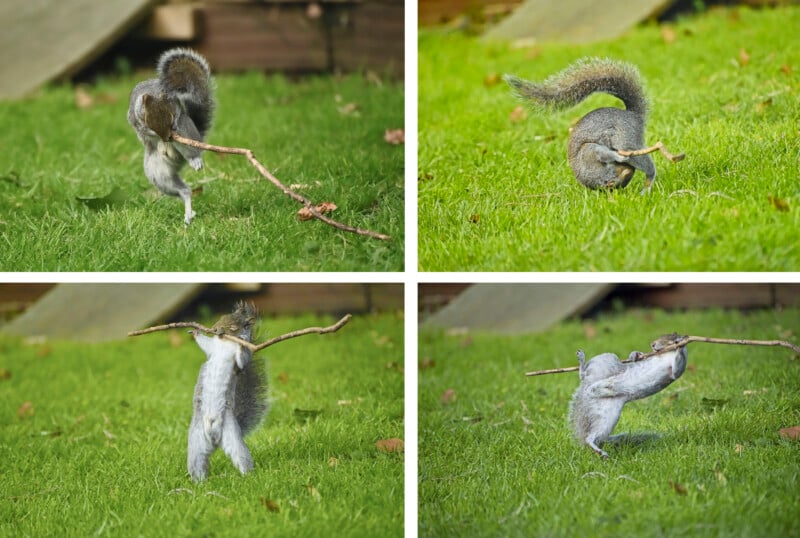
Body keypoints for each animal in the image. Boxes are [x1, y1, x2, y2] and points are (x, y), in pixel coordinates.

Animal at [126, 48, 214, 224]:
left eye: (171, 115)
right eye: (146, 118)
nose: (167, 137)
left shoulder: (176, 107)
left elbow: (178, 114)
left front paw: (173, 125)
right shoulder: (133, 115)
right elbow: (140, 128)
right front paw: (149, 132)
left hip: (188, 136)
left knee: (192, 152)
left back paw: (195, 160)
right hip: (159, 174)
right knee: (184, 191)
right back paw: (189, 213)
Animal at [186, 300, 268, 480]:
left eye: (233, 326)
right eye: (221, 317)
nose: (214, 328)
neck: (225, 343)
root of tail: (214, 440)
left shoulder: (241, 360)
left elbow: (242, 359)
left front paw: (240, 344)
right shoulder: (213, 348)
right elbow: (206, 345)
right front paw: (195, 331)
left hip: (231, 436)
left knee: (241, 457)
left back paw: (248, 476)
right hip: (196, 442)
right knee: (198, 461)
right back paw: (199, 481)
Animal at [506, 56, 680, 193]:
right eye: (616, 182)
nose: (629, 170)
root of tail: (633, 115)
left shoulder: (590, 151)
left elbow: (603, 153)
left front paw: (617, 156)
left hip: (625, 139)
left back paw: (648, 182)